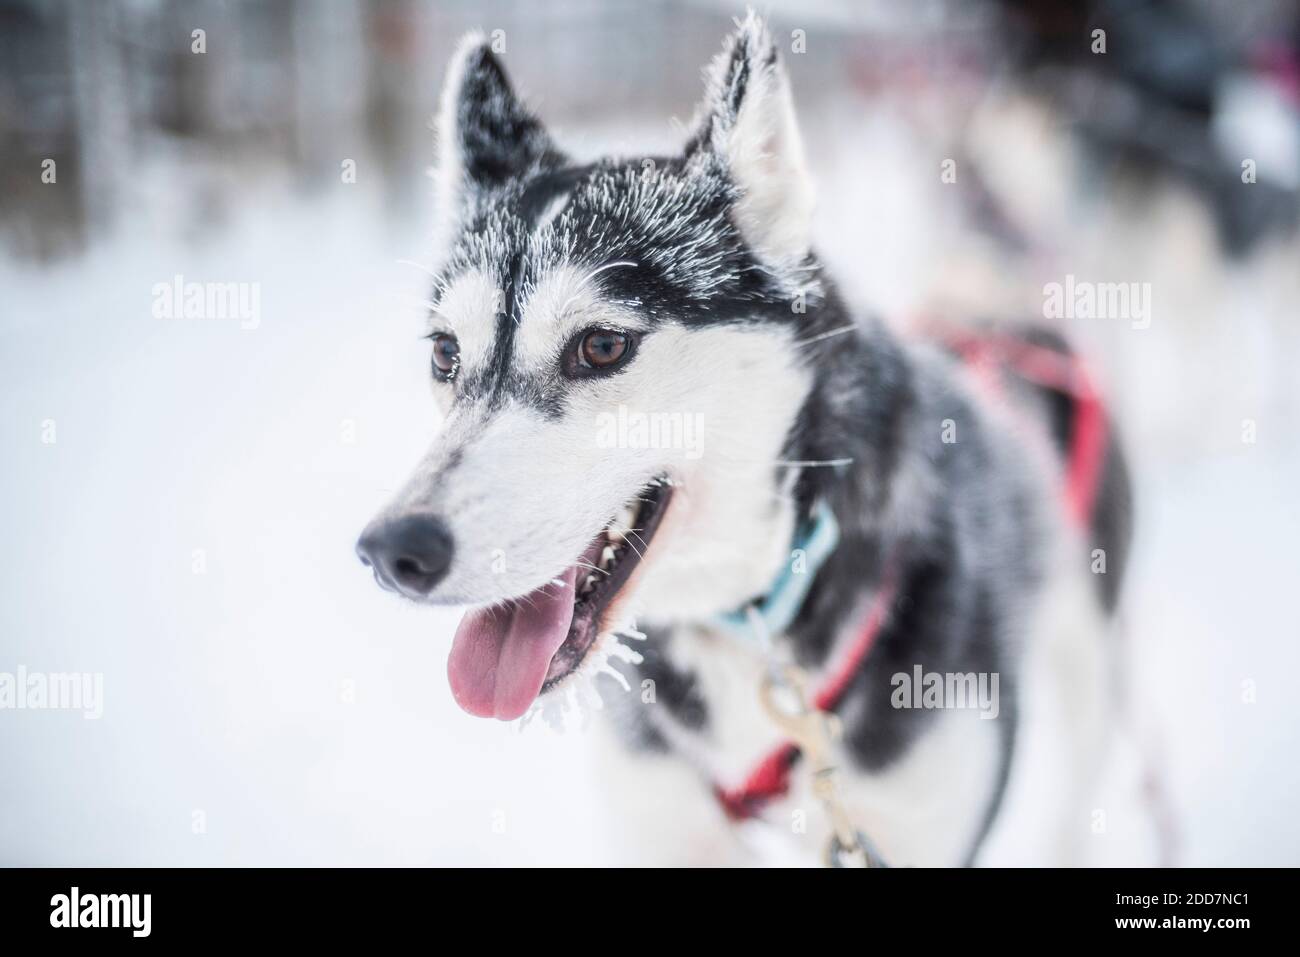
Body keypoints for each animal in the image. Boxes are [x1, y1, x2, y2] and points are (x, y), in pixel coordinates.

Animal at [356, 14, 1128, 868]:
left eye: (601, 346)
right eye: (445, 353)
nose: (393, 549)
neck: (745, 611)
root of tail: (998, 312)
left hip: (1091, 666)